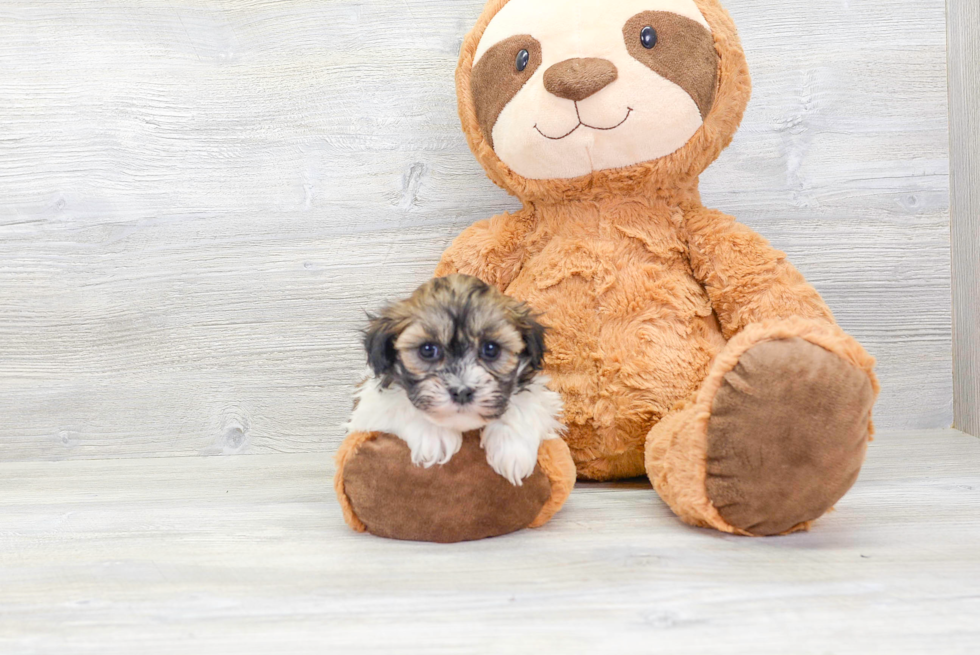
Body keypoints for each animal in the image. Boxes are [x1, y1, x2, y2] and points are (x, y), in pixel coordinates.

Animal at [344, 274, 564, 484]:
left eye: (491, 349)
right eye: (427, 350)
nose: (462, 392)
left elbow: (524, 404)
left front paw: (512, 449)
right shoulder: (369, 405)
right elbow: (400, 404)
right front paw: (433, 434)